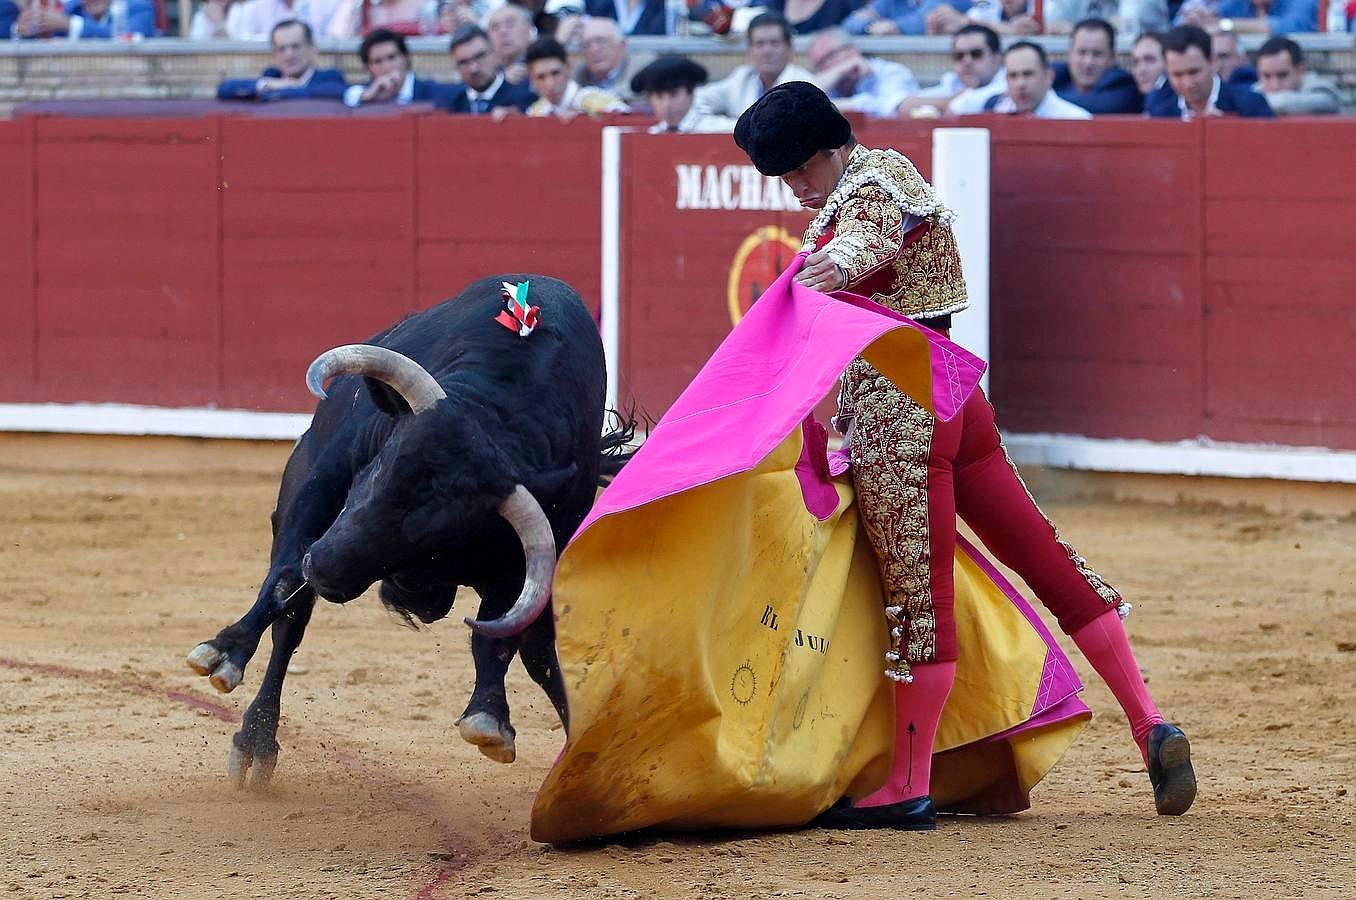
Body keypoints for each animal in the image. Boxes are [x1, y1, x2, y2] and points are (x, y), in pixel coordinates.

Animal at [183, 276, 621, 786]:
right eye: (377, 471)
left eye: (437, 538)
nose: (325, 568)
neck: (502, 402)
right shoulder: (322, 486)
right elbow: (285, 582)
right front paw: (222, 651)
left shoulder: (526, 559)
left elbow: (495, 638)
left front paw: (488, 717)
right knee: (291, 623)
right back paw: (255, 743)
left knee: (536, 653)